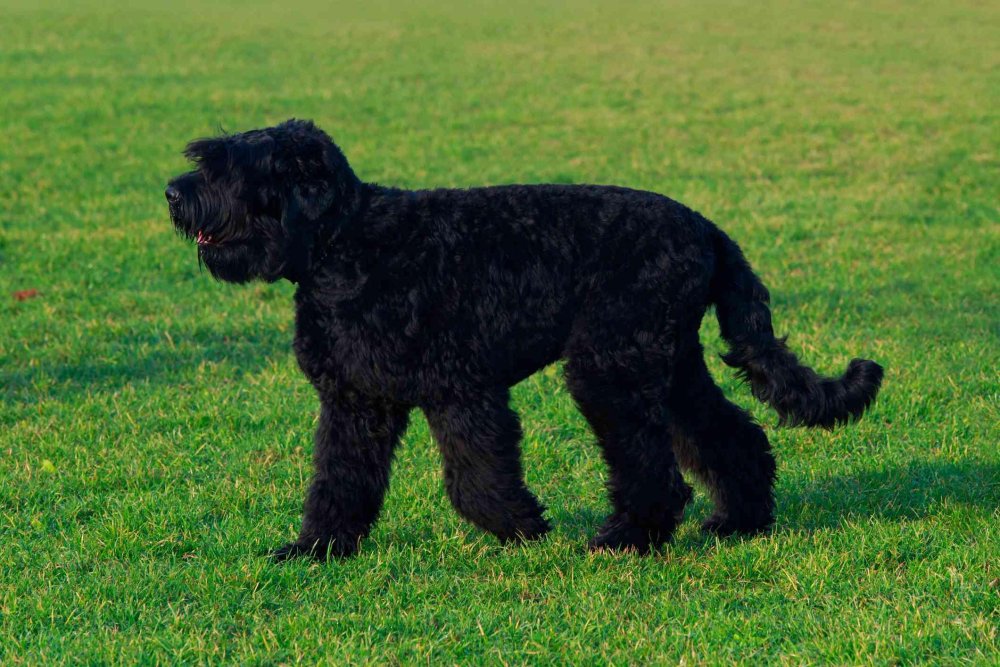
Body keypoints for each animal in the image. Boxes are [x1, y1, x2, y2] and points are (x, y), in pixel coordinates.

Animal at [166, 118, 884, 560]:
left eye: (232, 168)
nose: (174, 191)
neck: (346, 244)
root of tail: (707, 228)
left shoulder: (461, 390)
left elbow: (475, 474)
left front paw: (520, 524)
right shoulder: (355, 403)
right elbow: (340, 479)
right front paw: (317, 547)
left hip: (611, 371)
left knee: (655, 467)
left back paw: (626, 536)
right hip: (669, 366)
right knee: (730, 437)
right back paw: (741, 519)